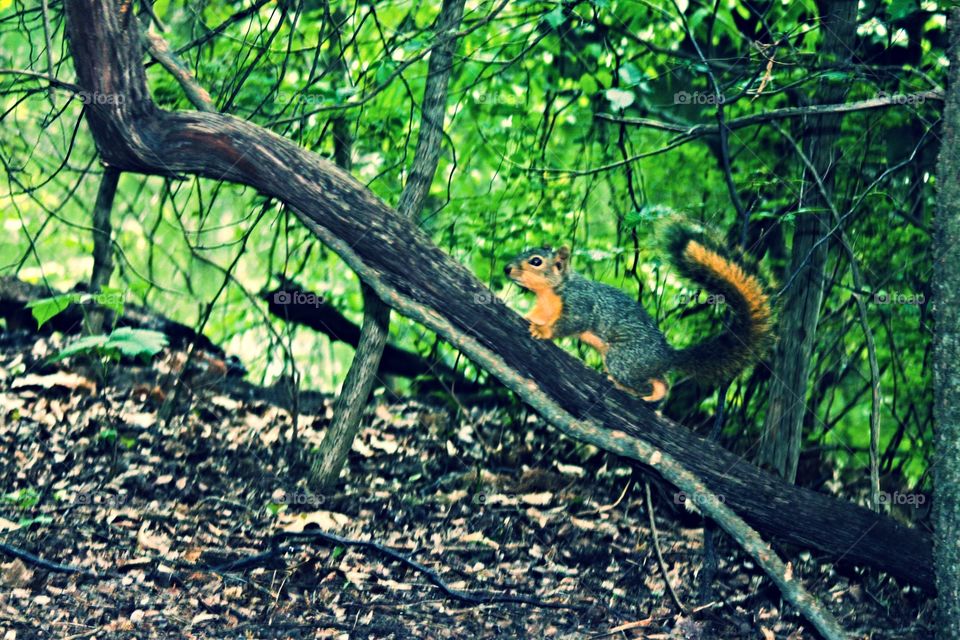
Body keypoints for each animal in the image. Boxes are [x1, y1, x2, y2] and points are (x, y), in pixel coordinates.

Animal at [503, 221, 773, 402]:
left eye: (536, 261)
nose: (507, 269)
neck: (551, 292)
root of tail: (667, 355)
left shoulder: (581, 304)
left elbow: (569, 323)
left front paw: (543, 331)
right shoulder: (545, 307)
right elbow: (539, 315)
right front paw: (527, 317)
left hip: (624, 357)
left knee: (642, 382)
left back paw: (624, 386)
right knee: (662, 384)